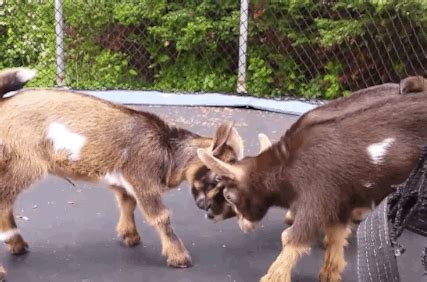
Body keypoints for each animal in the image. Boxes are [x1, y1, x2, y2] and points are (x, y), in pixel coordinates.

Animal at [199, 77, 427, 282]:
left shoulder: (317, 197)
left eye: (229, 196)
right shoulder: (340, 202)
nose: (208, 213)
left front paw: (274, 277)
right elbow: (335, 235)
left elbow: (291, 237)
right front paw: (330, 273)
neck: (287, 166)